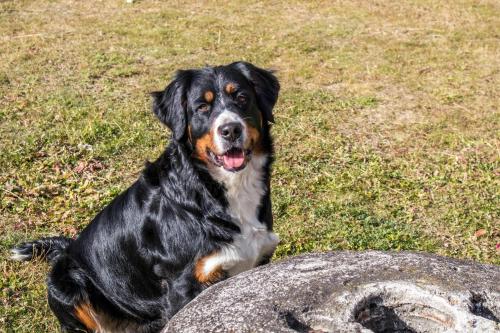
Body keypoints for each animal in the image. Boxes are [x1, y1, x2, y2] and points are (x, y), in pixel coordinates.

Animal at [11, 61, 280, 330]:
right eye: (202, 107)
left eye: (242, 98)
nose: (231, 129)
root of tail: (67, 249)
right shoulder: (182, 286)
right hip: (68, 284)